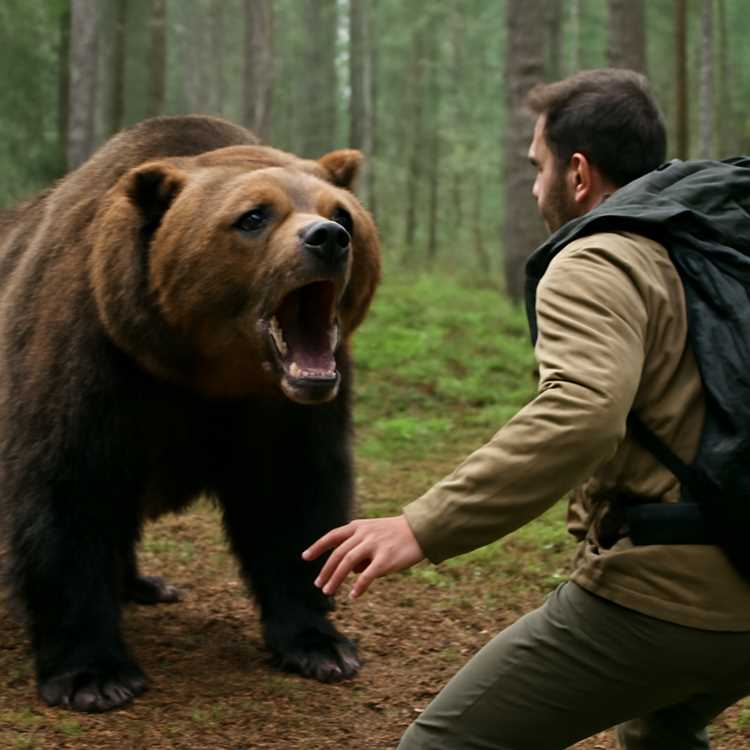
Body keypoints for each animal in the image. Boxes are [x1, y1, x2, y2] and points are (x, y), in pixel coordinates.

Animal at [0, 115, 380, 712]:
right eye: (253, 215)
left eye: (343, 212)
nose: (327, 239)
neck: (198, 373)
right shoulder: (88, 361)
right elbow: (68, 496)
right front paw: (95, 675)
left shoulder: (285, 409)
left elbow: (292, 501)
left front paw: (320, 644)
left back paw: (143, 585)